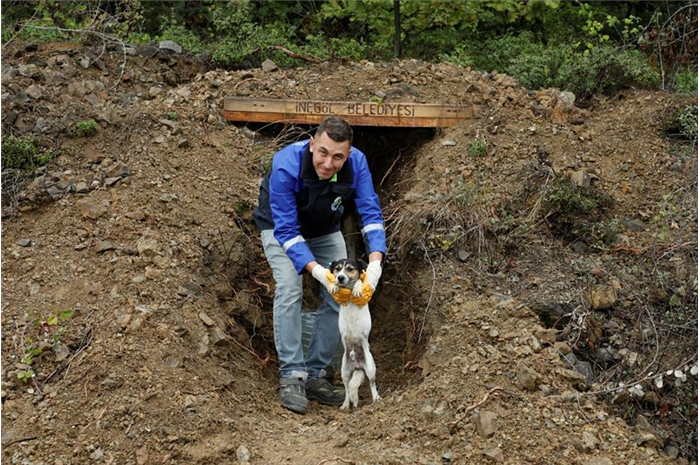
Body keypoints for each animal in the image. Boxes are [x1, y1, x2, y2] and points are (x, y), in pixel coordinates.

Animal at [330, 258, 380, 410]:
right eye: (337, 269)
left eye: (350, 269)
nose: (340, 277)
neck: (348, 291)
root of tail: (358, 364)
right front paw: (334, 285)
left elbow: (359, 282)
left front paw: (357, 288)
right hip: (345, 372)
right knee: (347, 390)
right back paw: (345, 405)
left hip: (370, 368)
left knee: (372, 384)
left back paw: (376, 399)